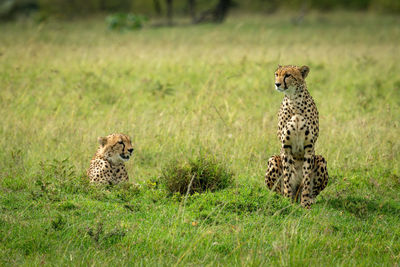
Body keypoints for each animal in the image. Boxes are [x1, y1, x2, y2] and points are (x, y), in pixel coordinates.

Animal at [266, 65, 328, 209]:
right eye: (276, 74)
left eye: (288, 75)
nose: (277, 84)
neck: (294, 100)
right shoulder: (286, 147)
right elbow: (287, 177)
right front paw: (286, 201)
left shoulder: (309, 147)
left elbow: (306, 179)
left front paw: (305, 203)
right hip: (273, 159)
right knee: (279, 190)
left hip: (321, 159)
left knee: (311, 191)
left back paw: (308, 200)